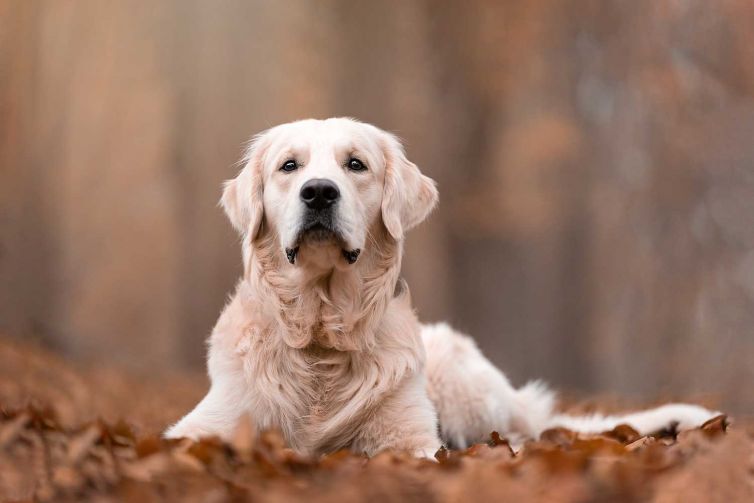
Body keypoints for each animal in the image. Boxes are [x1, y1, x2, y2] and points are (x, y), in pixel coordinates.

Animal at [164, 117, 716, 456]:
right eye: (289, 166)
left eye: (355, 164)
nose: (319, 192)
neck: (322, 328)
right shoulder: (209, 424)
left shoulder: (409, 438)